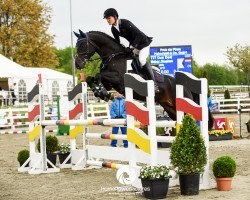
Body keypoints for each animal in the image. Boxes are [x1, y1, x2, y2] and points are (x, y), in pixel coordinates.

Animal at [74, 29, 213, 130]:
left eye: (82, 45)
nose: (78, 64)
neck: (113, 57)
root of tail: (186, 87)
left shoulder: (118, 79)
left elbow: (99, 75)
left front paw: (103, 94)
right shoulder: (109, 83)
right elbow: (91, 78)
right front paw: (100, 93)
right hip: (170, 109)